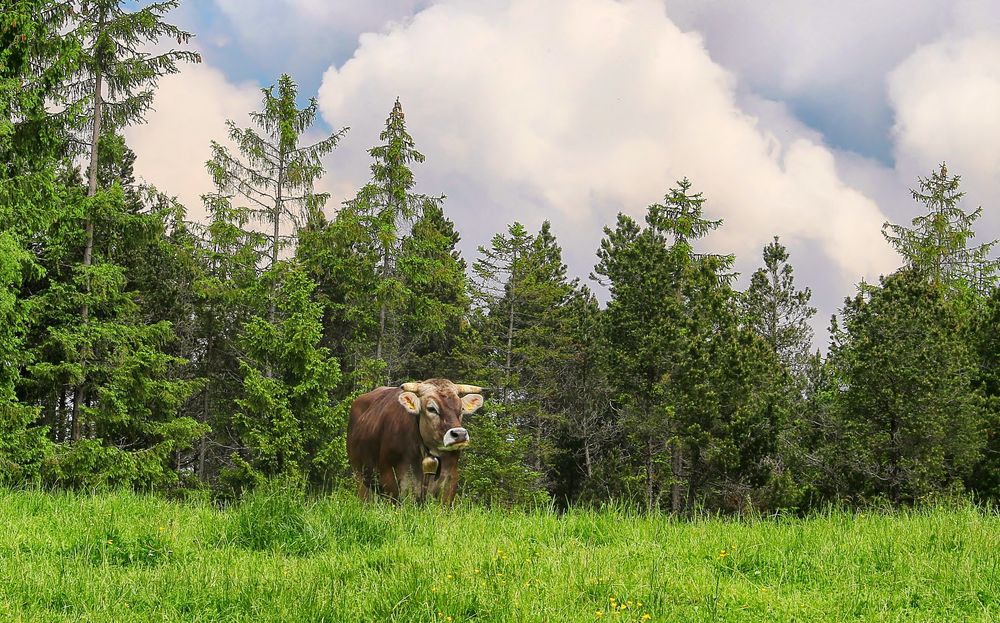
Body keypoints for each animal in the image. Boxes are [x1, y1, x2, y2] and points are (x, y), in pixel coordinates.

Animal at [346, 378, 482, 504]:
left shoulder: (450, 481)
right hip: (360, 476)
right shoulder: (392, 481)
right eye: (431, 408)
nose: (459, 434)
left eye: (461, 409)